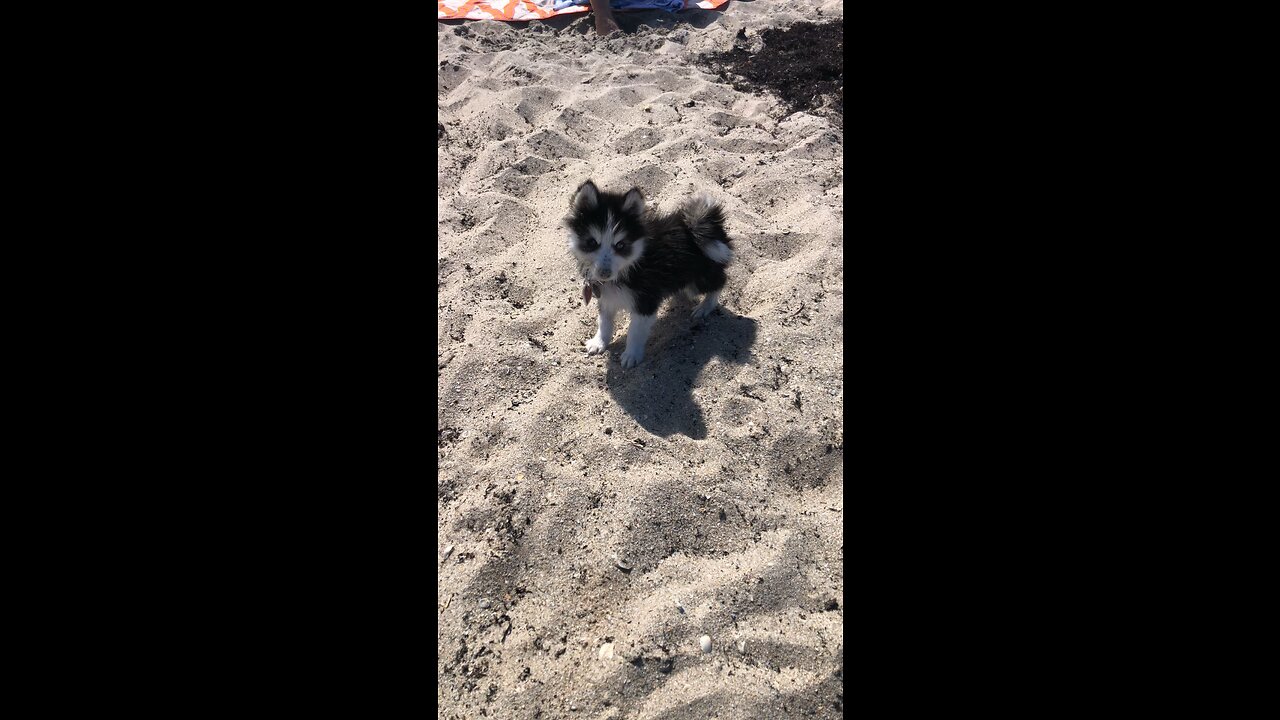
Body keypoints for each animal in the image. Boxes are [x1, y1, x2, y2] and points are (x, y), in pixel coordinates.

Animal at [568, 178, 737, 366]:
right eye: (591, 242)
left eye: (620, 245)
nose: (604, 274)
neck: (630, 266)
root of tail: (704, 222)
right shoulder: (606, 298)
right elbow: (604, 321)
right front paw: (600, 342)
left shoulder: (646, 301)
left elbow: (634, 332)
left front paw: (631, 355)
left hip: (699, 277)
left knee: (719, 282)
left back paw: (705, 307)